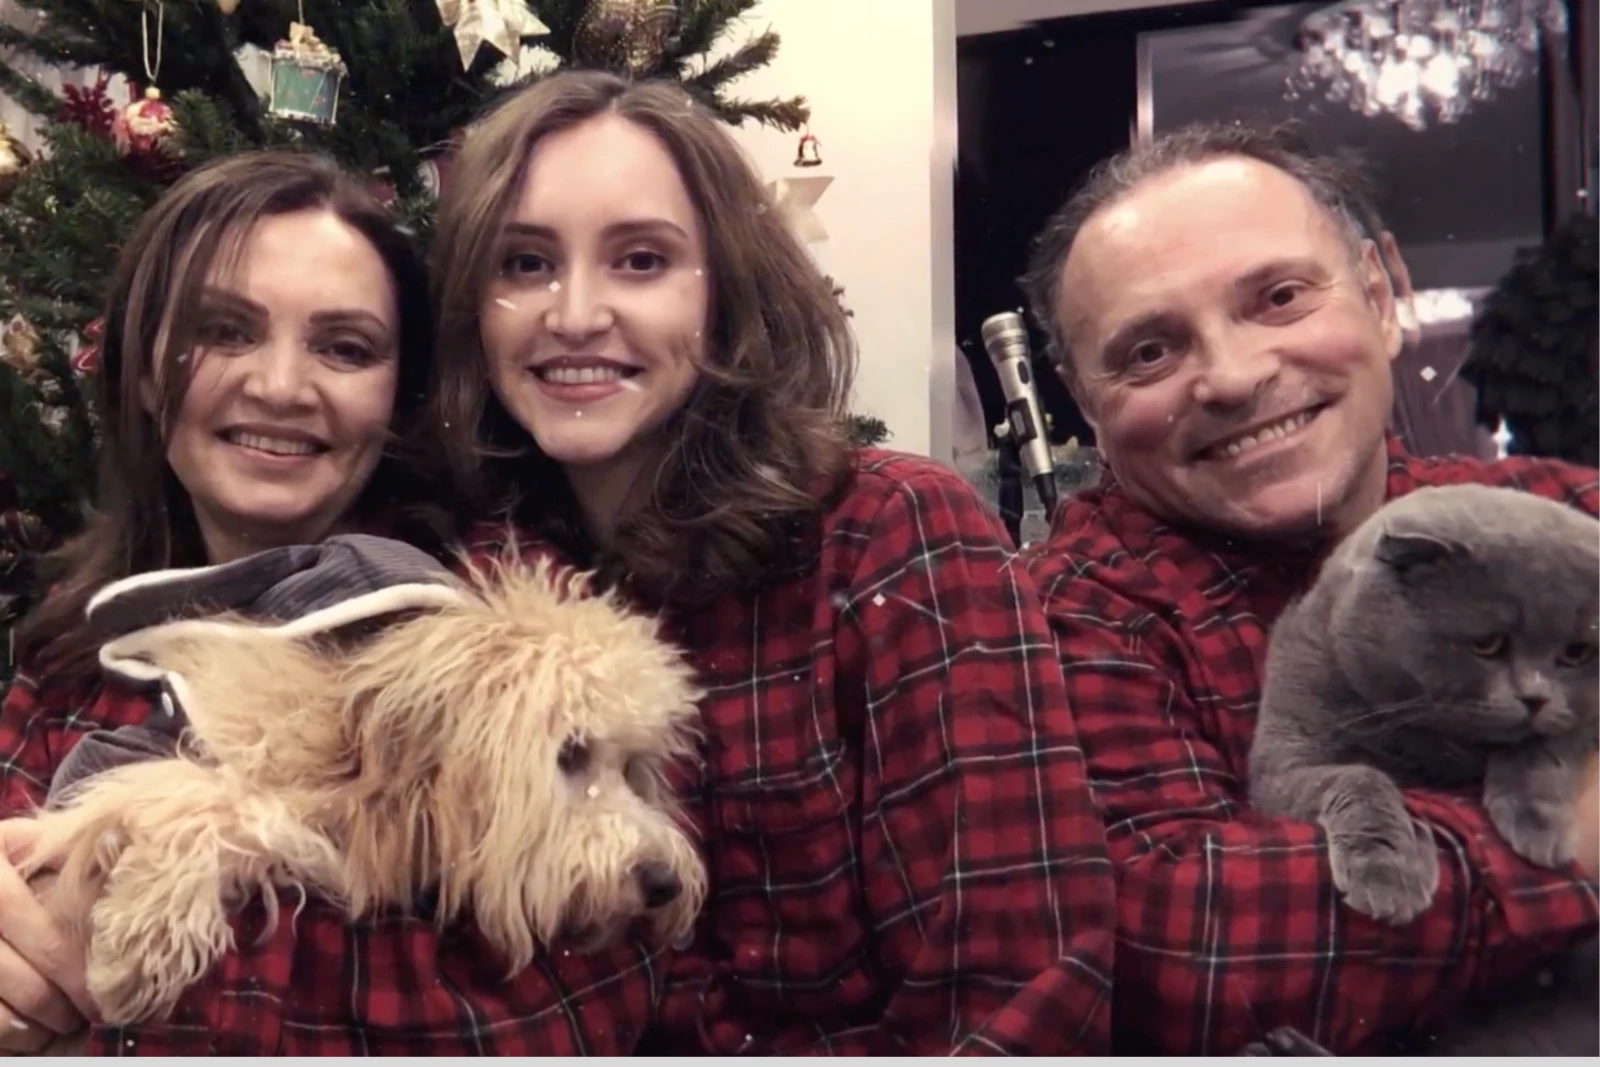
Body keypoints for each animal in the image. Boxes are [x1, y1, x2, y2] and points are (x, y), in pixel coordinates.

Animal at [1248, 483, 1600, 927]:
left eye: (1576, 653)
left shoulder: (1584, 716)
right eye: (1487, 645)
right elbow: (1359, 776)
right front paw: (1389, 874)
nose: (1536, 698)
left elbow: (1545, 744)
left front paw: (1538, 824)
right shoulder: (1280, 763)